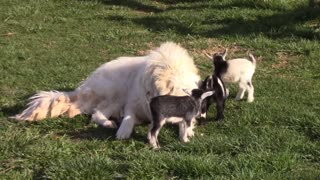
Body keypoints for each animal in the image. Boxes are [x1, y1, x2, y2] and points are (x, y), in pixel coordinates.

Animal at [14, 41, 202, 139]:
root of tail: (85, 85)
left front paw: (187, 131)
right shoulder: (131, 103)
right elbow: (128, 118)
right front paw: (123, 132)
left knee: (96, 113)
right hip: (116, 94)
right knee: (97, 113)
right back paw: (110, 123)